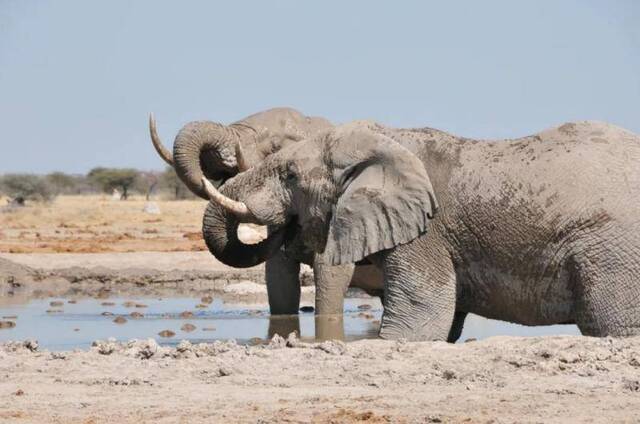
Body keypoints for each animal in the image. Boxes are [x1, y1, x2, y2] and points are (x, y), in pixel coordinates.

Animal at [199, 118, 640, 342]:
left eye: (290, 175)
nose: (225, 158)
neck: (383, 142)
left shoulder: (426, 232)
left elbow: (419, 319)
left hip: (611, 252)